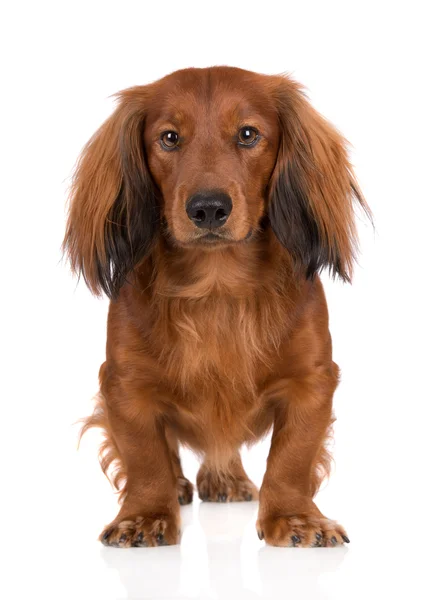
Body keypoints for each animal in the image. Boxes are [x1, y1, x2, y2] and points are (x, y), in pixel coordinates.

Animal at [63, 67, 368, 548]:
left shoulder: (312, 380)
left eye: (248, 134)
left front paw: (295, 518)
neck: (217, 286)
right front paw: (145, 516)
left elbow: (293, 457)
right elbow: (145, 457)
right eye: (169, 138)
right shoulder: (125, 385)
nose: (208, 208)